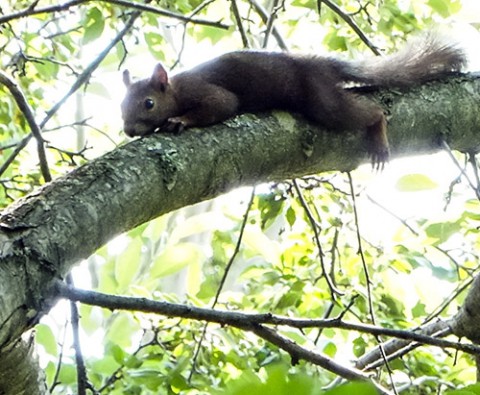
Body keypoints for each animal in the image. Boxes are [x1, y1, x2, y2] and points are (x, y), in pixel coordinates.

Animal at [120, 35, 464, 167]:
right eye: (121, 106)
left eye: (148, 103)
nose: (128, 130)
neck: (175, 90)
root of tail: (321, 64)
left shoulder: (203, 90)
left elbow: (222, 105)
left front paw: (179, 120)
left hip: (322, 100)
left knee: (370, 112)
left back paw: (378, 133)